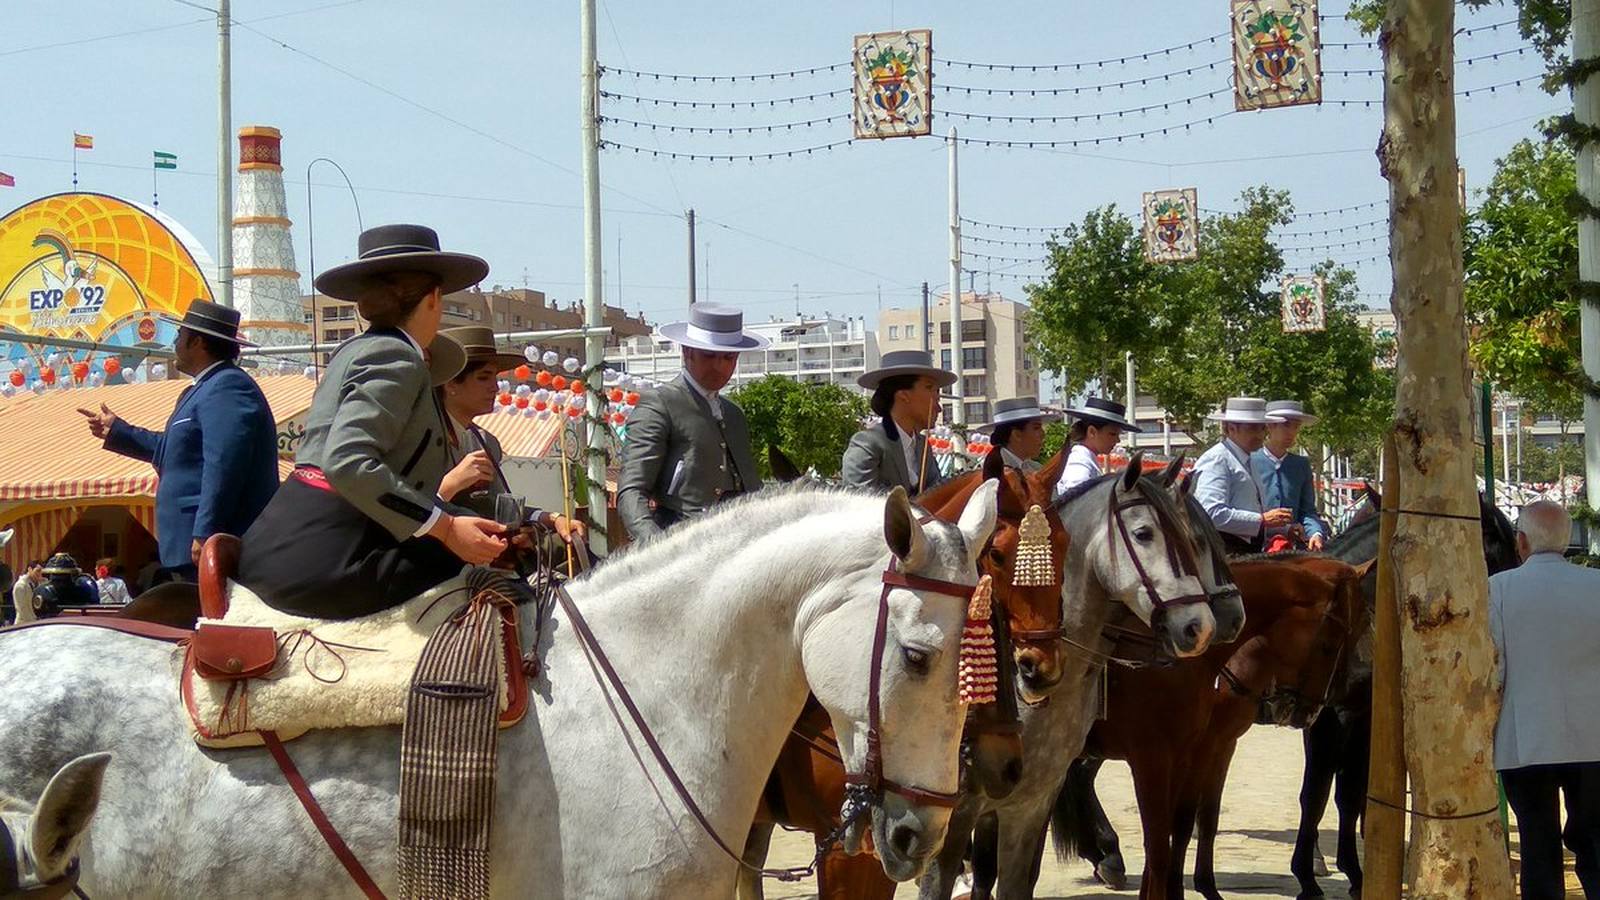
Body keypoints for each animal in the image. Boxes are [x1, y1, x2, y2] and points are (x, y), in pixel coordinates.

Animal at [1049, 554, 1363, 896]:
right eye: (1330, 644)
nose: (1311, 712)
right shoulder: (1161, 756)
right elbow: (1162, 840)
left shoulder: (1208, 747)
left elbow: (1192, 820)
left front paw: (1196, 886)